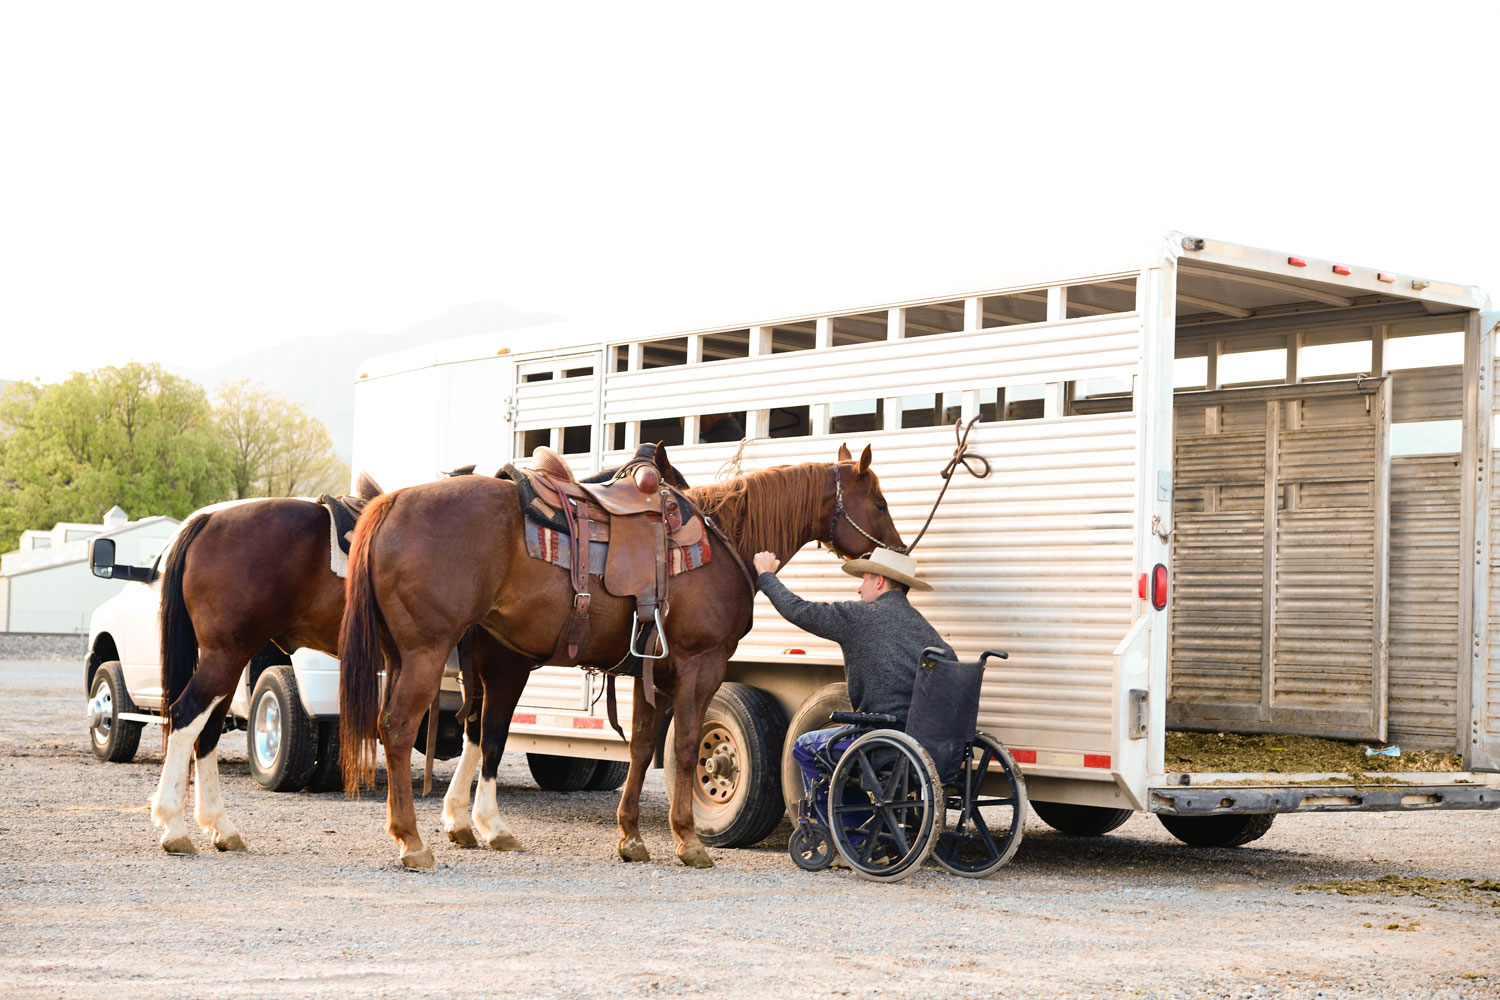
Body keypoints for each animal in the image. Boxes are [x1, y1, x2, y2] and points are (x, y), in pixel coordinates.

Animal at [340, 443, 900, 869]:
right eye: (879, 503)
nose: (896, 551)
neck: (723, 543)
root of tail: (389, 502)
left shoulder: (652, 672)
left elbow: (642, 747)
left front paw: (631, 837)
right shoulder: (700, 665)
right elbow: (686, 747)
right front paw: (689, 840)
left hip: (421, 656)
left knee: (463, 728)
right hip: (427, 652)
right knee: (399, 728)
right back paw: (413, 843)